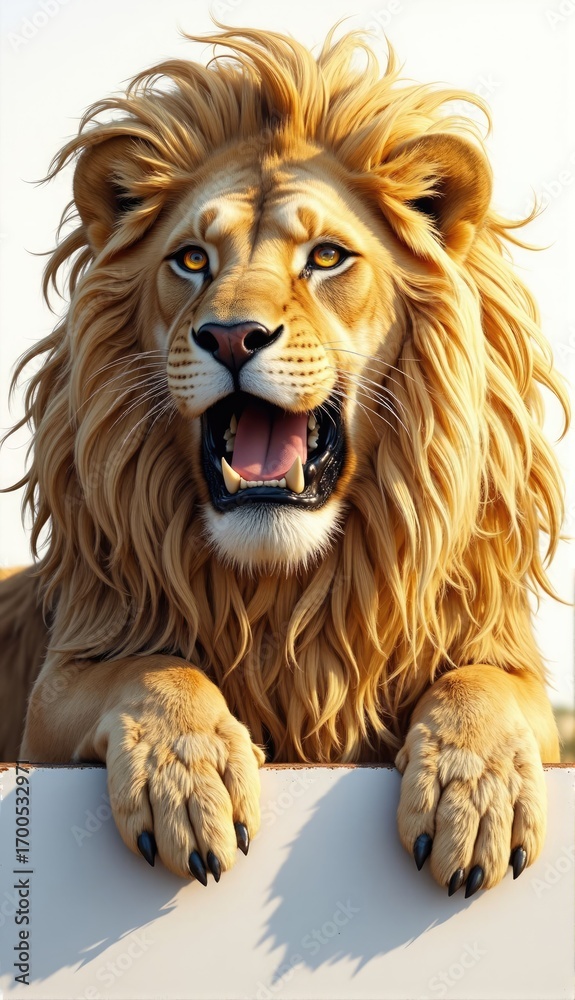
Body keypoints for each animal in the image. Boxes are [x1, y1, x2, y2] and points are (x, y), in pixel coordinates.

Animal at [0, 26, 568, 898]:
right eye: (191, 260)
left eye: (326, 257)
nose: (232, 336)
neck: (288, 589)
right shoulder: (57, 689)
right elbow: (153, 668)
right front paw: (190, 779)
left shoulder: (511, 671)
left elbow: (483, 686)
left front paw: (477, 795)